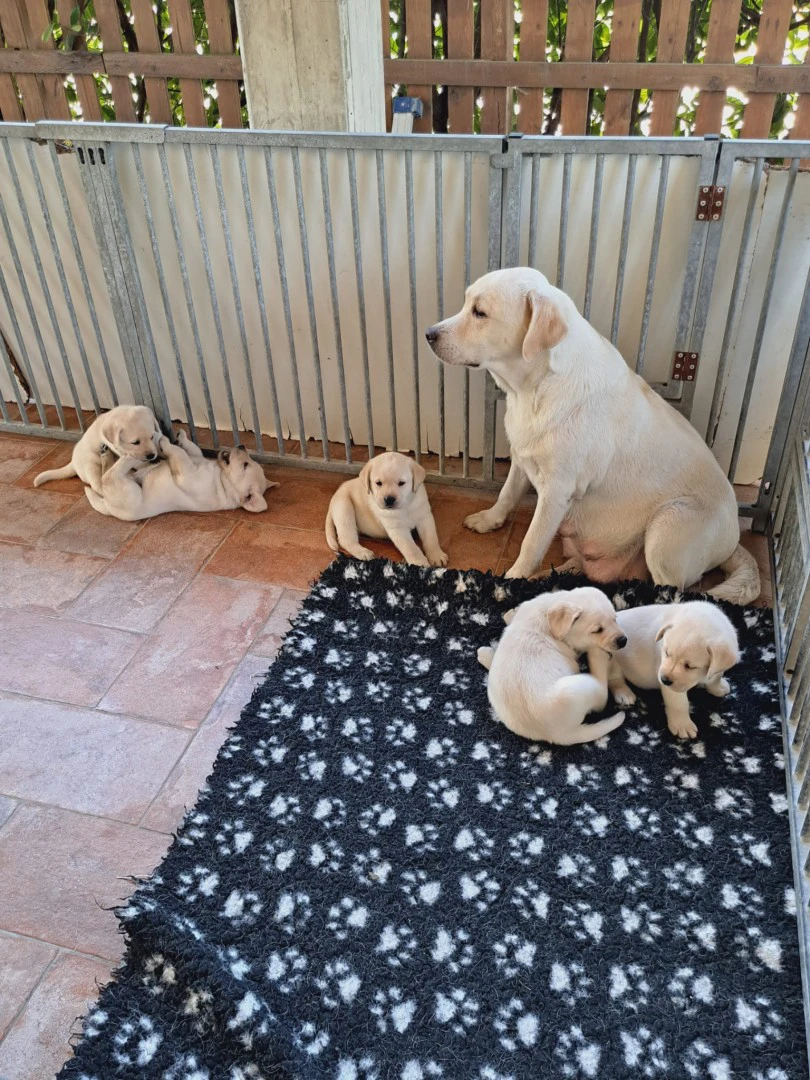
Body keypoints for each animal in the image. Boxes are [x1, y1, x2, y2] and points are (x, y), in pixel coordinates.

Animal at [33, 403, 162, 494]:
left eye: (151, 437)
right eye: (135, 442)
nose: (151, 455)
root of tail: (73, 463)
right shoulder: (119, 449)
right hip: (91, 465)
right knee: (98, 483)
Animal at [84, 429, 276, 522]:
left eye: (245, 465)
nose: (242, 446)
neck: (221, 479)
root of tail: (109, 508)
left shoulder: (186, 474)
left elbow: (178, 453)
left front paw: (165, 441)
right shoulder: (195, 458)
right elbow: (191, 449)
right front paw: (182, 436)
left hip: (129, 492)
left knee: (107, 477)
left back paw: (128, 456)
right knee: (102, 478)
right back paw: (107, 454)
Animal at [425, 265, 760, 604]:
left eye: (480, 312)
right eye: (466, 303)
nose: (428, 334)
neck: (535, 388)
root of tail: (734, 540)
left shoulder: (556, 492)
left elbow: (531, 542)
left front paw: (512, 581)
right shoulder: (522, 458)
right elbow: (506, 495)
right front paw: (488, 520)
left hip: (668, 524)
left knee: (669, 591)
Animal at [479, 587, 630, 747]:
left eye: (615, 619)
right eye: (597, 630)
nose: (623, 640)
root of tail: (557, 735)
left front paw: (510, 613)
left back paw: (484, 654)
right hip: (580, 688)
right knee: (602, 694)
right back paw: (597, 655)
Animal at [609, 600, 743, 743]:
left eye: (690, 666)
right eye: (667, 653)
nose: (664, 679)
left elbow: (716, 676)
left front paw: (718, 686)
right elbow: (679, 704)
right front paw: (682, 724)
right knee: (615, 680)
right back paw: (624, 693)